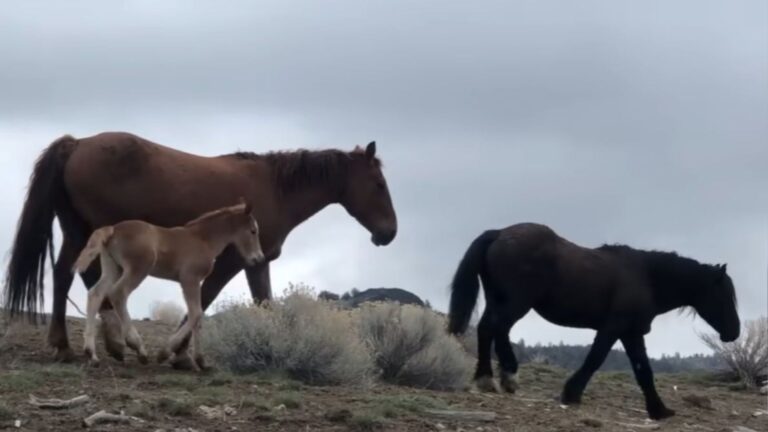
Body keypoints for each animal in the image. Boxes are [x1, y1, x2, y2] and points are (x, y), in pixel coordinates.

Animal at [73, 200, 264, 369]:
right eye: (253, 231)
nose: (258, 258)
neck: (203, 240)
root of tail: (113, 229)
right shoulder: (189, 279)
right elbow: (196, 313)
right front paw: (164, 353)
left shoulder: (195, 281)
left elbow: (198, 316)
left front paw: (201, 361)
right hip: (138, 269)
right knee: (118, 293)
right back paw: (138, 348)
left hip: (113, 268)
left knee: (96, 293)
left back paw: (91, 354)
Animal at [447, 223, 740, 420]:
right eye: (723, 295)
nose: (734, 333)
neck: (646, 277)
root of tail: (499, 233)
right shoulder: (614, 329)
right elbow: (595, 359)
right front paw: (571, 393)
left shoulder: (631, 333)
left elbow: (643, 371)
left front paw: (659, 410)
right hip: (516, 303)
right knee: (493, 329)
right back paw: (497, 378)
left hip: (500, 300)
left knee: (491, 330)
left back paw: (497, 379)